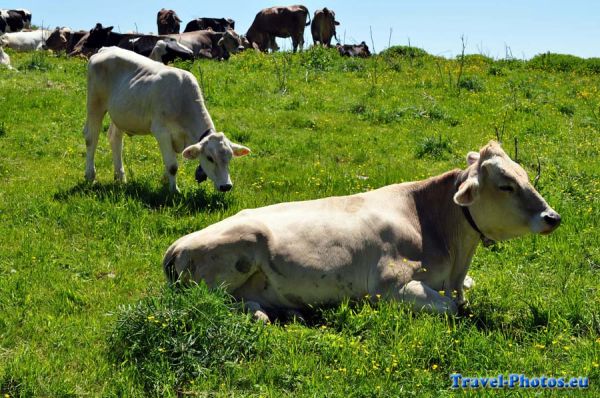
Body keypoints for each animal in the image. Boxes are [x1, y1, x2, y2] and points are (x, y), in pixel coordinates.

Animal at [83, 46, 250, 193]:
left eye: (230, 157)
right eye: (210, 158)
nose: (226, 186)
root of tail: (106, 49)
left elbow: (172, 161)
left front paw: (164, 182)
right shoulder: (161, 131)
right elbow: (173, 166)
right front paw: (174, 190)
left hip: (120, 114)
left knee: (115, 139)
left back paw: (120, 177)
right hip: (95, 103)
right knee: (91, 137)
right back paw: (90, 175)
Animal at [164, 141, 564, 322]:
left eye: (525, 175)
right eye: (506, 185)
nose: (552, 217)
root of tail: (177, 244)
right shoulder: (389, 287)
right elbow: (451, 306)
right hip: (237, 253)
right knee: (212, 302)